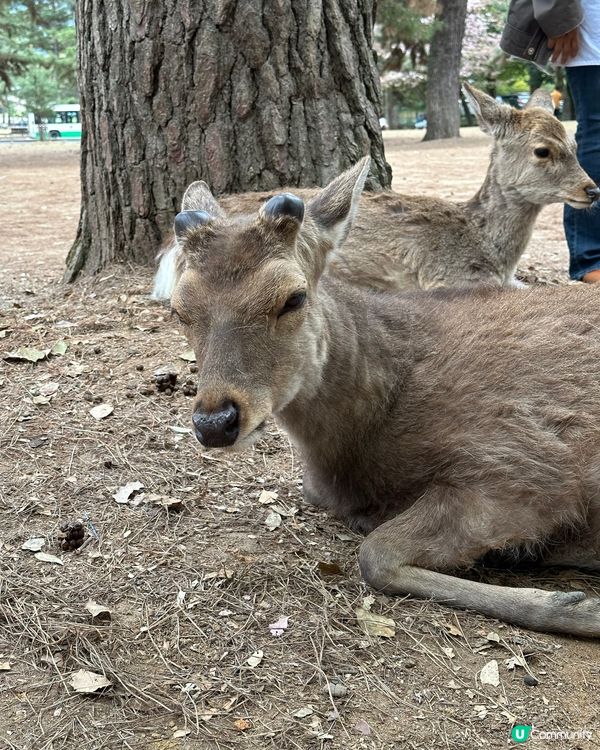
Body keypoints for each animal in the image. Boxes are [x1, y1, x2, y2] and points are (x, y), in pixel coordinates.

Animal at [155, 160, 600, 640]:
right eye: (179, 309)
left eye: (294, 297)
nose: (215, 423)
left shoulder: (527, 466)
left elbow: (375, 555)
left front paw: (580, 605)